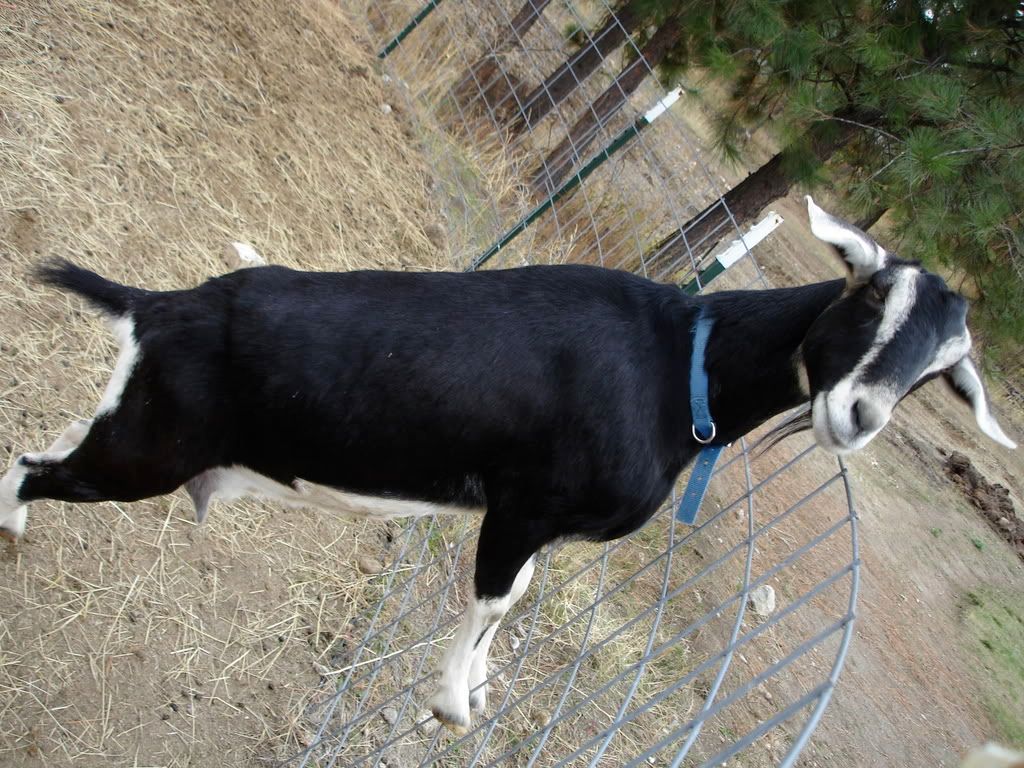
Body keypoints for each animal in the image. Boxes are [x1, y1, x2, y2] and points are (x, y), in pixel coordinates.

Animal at [0, 199, 1015, 733]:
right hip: (146, 451)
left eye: (940, 373)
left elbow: (516, 600)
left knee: (44, 450)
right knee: (25, 468)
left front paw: (478, 684)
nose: (859, 415)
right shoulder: (523, 508)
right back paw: (11, 538)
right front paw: (456, 704)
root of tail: (156, 308)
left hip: (136, 427)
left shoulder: (548, 526)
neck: (677, 364)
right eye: (871, 295)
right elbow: (492, 598)